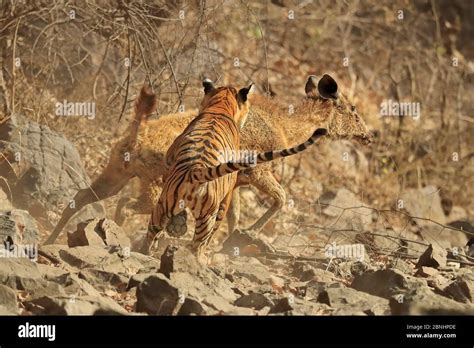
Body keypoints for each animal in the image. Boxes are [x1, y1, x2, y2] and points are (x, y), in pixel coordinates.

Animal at [141, 81, 326, 260]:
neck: (220, 107)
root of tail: (196, 171)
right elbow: (229, 215)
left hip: (165, 207)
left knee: (157, 233)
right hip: (200, 214)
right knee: (196, 243)